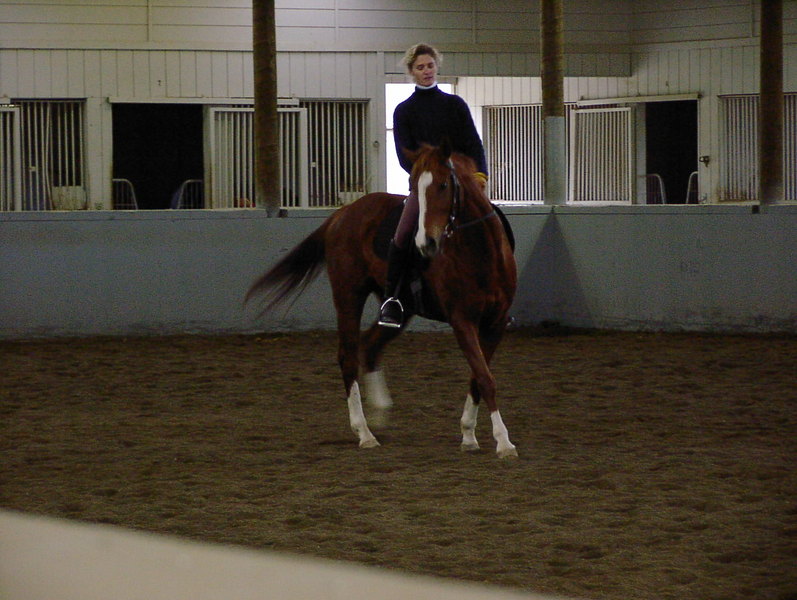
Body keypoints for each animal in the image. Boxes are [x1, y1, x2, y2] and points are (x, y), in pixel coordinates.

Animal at [246, 142, 518, 458]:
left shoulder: (495, 323)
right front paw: (503, 441)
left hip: (400, 309)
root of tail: (342, 215)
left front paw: (469, 435)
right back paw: (364, 432)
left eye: (443, 185)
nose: (426, 244)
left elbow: (478, 377)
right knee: (348, 356)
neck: (480, 254)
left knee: (370, 345)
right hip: (348, 296)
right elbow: (485, 378)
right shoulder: (462, 321)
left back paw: (379, 413)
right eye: (413, 185)